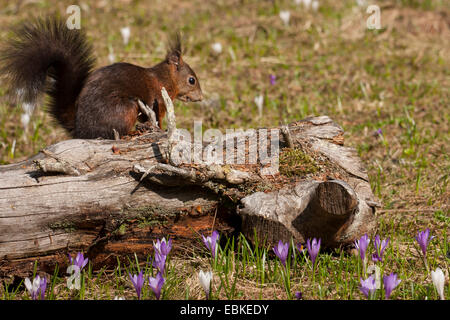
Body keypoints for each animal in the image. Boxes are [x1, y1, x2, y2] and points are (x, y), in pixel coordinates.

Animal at [0, 16, 202, 139]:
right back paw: (132, 132)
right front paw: (159, 130)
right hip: (127, 107)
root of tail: (82, 130)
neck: (164, 78)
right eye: (191, 80)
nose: (200, 97)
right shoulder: (158, 100)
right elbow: (158, 119)